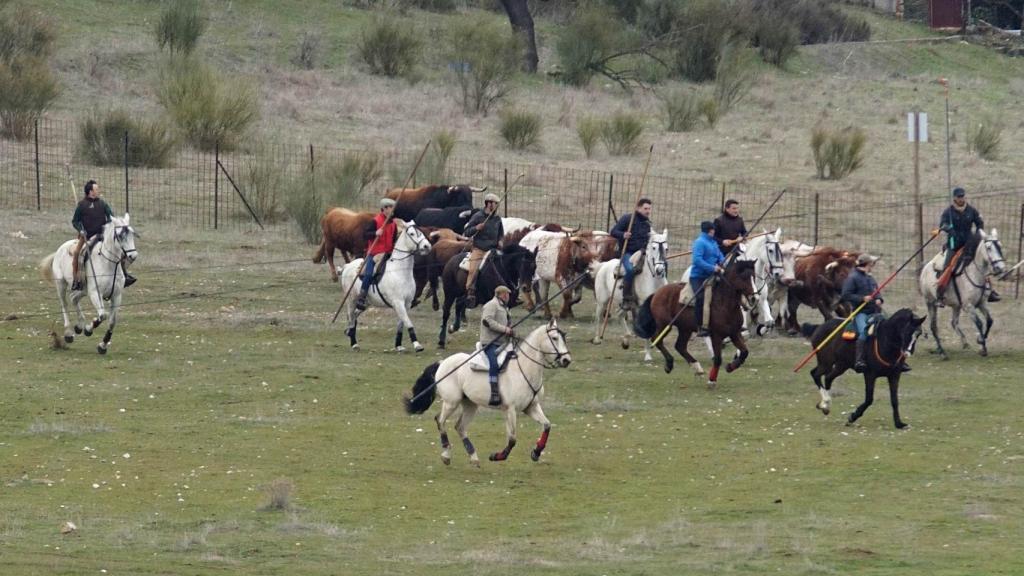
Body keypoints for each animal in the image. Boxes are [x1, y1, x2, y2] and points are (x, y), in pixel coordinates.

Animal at [39, 214, 139, 354]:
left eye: (132, 234)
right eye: (120, 236)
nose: (133, 256)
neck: (108, 263)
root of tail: (61, 248)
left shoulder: (116, 295)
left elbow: (112, 321)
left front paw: (103, 345)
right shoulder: (95, 293)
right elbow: (102, 315)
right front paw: (88, 330)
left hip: (83, 290)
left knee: (73, 298)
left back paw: (79, 326)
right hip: (61, 284)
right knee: (64, 304)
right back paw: (69, 333)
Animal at [339, 220, 432, 352]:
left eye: (422, 232)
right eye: (412, 233)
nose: (427, 246)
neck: (400, 271)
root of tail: (347, 266)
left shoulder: (407, 304)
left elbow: (401, 324)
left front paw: (399, 345)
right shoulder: (398, 303)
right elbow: (408, 322)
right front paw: (417, 345)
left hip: (366, 303)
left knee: (354, 315)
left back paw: (349, 332)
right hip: (351, 299)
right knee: (351, 316)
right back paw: (354, 343)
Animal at [404, 320, 572, 466]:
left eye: (563, 337)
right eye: (554, 338)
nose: (566, 360)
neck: (523, 369)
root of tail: (442, 363)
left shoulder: (531, 407)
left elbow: (547, 425)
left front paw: (536, 452)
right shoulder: (510, 409)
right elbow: (512, 439)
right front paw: (497, 456)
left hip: (470, 404)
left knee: (460, 427)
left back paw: (473, 457)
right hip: (451, 402)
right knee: (440, 421)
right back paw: (446, 455)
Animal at [591, 229, 669, 361]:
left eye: (666, 248)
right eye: (654, 248)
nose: (659, 270)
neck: (653, 280)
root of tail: (603, 265)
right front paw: (648, 355)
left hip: (625, 304)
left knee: (619, 314)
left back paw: (626, 340)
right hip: (602, 301)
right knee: (598, 317)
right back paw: (597, 339)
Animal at [919, 229, 1007, 358]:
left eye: (1000, 246)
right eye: (989, 247)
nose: (1001, 268)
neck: (975, 273)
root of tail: (925, 268)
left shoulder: (981, 303)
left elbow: (990, 321)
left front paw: (980, 340)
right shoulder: (968, 306)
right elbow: (979, 323)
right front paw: (982, 347)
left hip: (956, 305)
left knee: (954, 322)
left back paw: (964, 343)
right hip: (930, 302)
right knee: (933, 326)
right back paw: (942, 352)